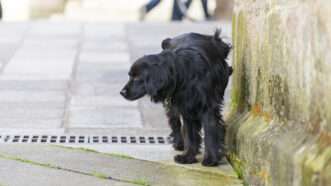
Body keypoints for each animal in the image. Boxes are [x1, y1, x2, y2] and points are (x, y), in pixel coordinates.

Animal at [120, 29, 232, 166]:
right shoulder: (186, 107)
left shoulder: (208, 107)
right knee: (175, 122)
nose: (122, 92)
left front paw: (211, 159)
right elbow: (190, 134)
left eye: (136, 77)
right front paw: (188, 156)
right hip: (171, 103)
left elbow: (210, 130)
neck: (183, 72)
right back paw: (179, 143)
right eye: (130, 75)